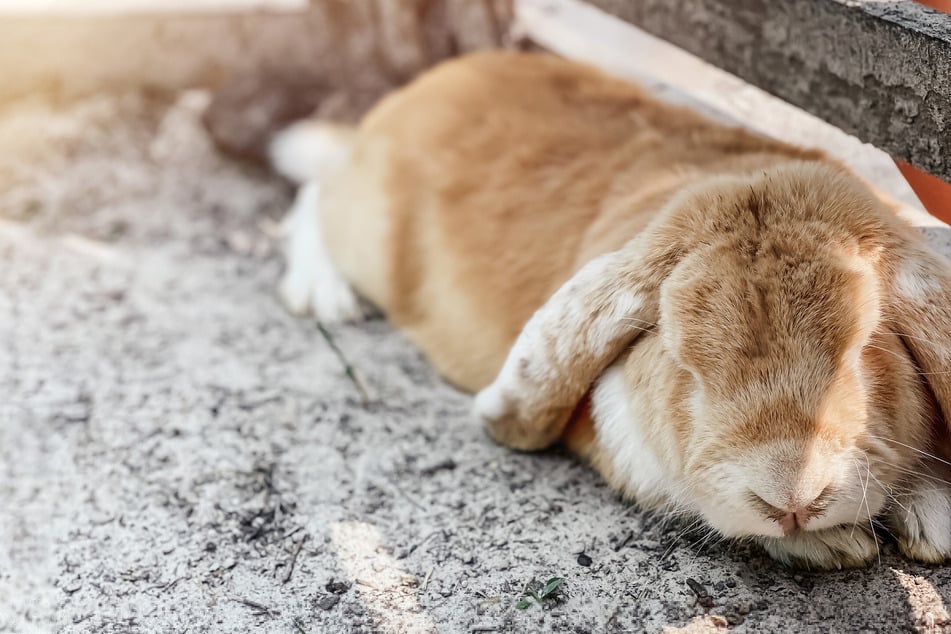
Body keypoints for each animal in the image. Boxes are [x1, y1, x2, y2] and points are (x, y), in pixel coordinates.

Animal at [270, 51, 951, 570]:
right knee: (311, 195)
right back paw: (326, 297)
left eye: (864, 349)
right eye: (685, 365)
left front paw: (930, 519)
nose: (792, 500)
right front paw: (837, 543)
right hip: (363, 227)